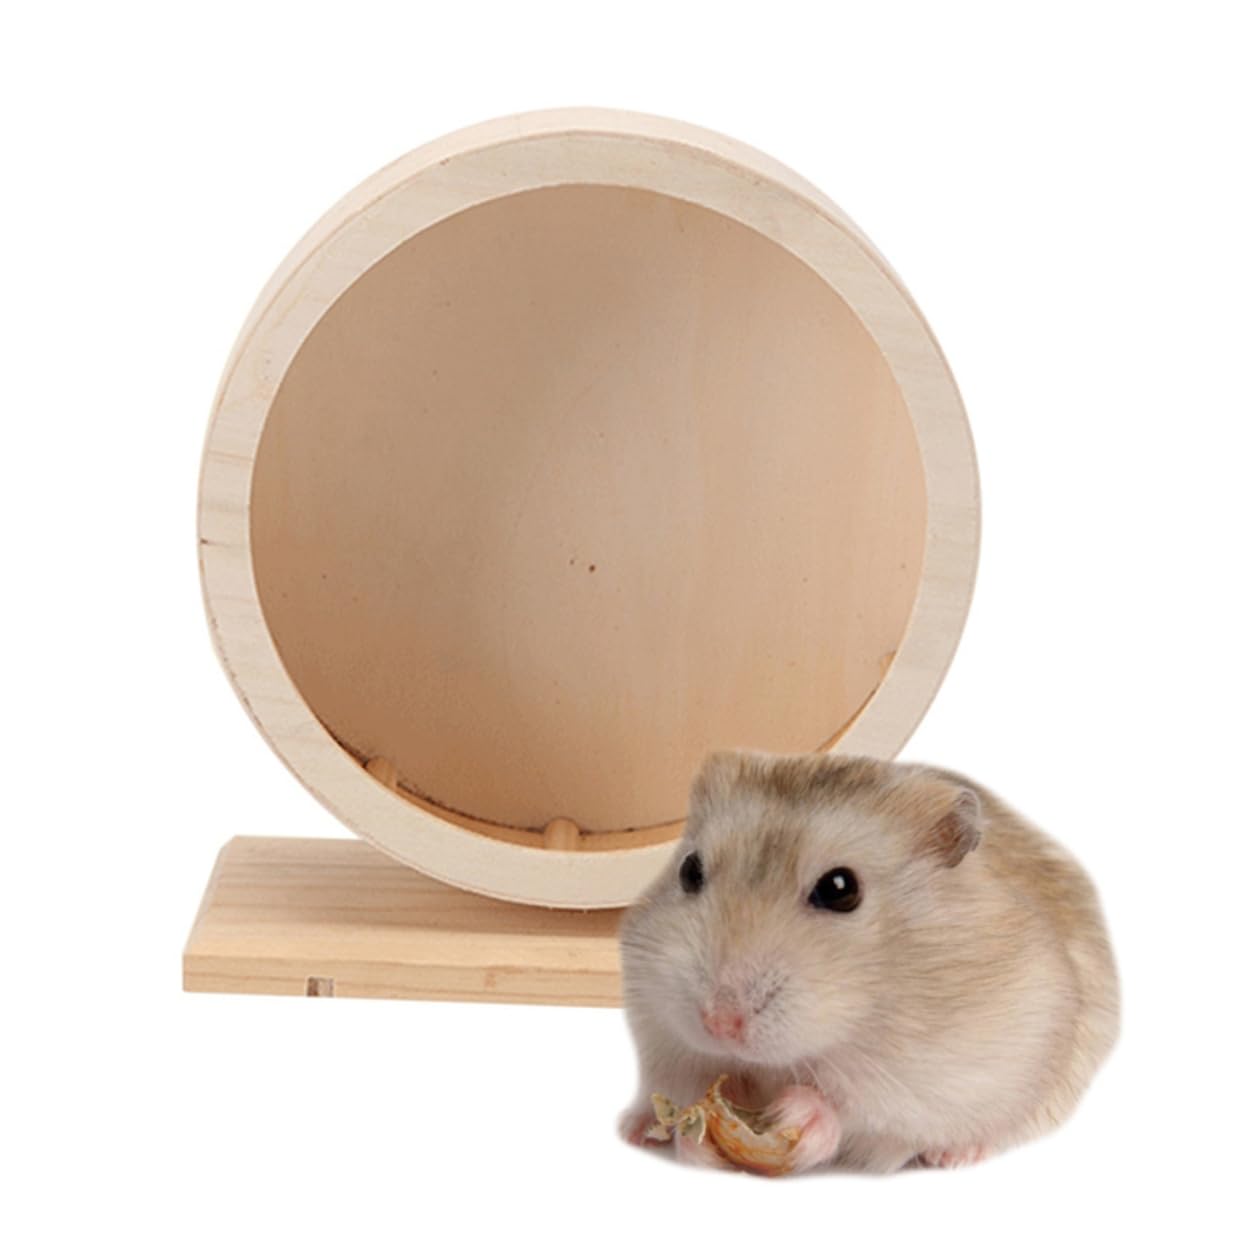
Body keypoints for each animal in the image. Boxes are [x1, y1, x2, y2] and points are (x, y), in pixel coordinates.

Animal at [618, 750, 1120, 1173]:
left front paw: (794, 1113)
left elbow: (857, 1110)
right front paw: (697, 1133)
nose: (720, 1024)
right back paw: (635, 1128)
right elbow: (688, 1082)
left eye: (840, 889)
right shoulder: (660, 1032)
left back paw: (955, 1155)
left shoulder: (944, 1072)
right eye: (689, 871)